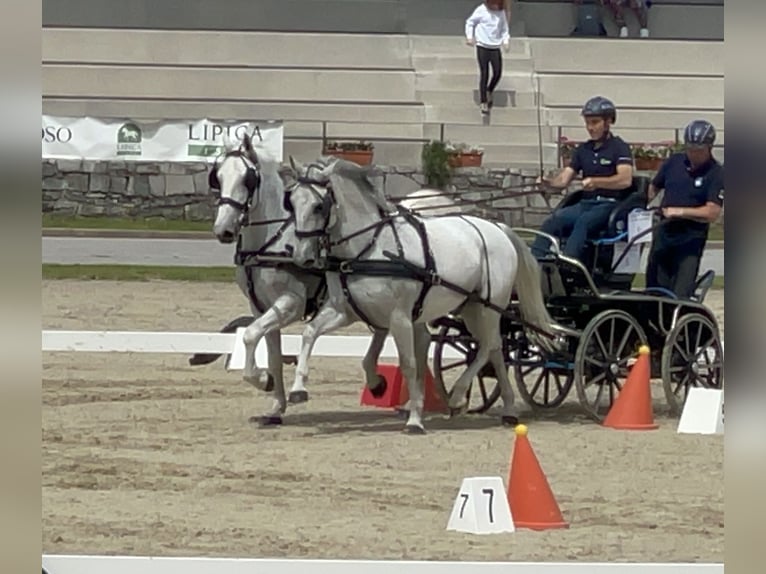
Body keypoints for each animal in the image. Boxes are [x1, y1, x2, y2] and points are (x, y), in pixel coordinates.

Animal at [212, 134, 462, 424]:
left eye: (248, 179)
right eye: (218, 177)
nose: (223, 230)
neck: (270, 241)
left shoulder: (291, 303)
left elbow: (251, 335)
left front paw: (263, 380)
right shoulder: (260, 307)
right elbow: (271, 354)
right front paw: (275, 407)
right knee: (411, 337)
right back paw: (401, 395)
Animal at [282, 155, 560, 434]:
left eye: (319, 206)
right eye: (291, 202)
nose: (302, 256)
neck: (369, 247)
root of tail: (499, 228)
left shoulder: (400, 318)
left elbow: (409, 363)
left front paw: (415, 419)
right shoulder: (344, 310)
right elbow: (311, 334)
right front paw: (299, 390)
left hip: (488, 307)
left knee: (489, 345)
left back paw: (457, 396)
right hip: (470, 308)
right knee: (494, 349)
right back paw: (508, 410)